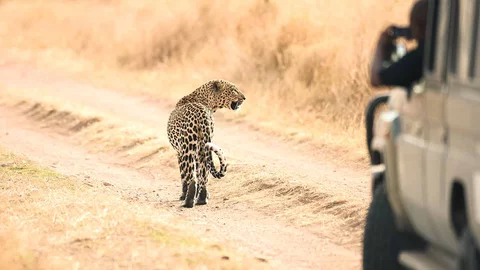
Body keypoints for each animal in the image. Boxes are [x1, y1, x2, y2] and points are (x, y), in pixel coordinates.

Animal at [166, 79, 246, 208]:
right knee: (204, 173)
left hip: (188, 149)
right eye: (234, 90)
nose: (244, 98)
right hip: (203, 149)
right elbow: (200, 174)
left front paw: (182, 195)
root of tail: (202, 113)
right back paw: (202, 199)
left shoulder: (179, 152)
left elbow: (183, 175)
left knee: (191, 177)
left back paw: (188, 202)